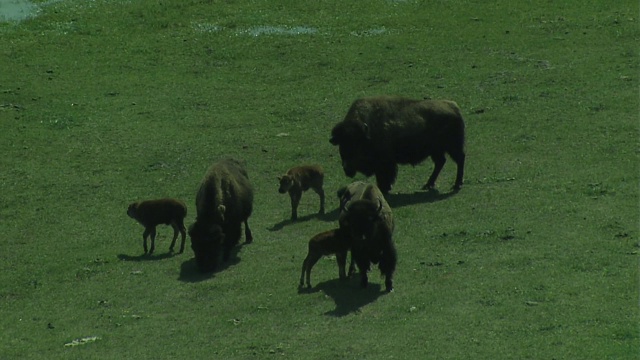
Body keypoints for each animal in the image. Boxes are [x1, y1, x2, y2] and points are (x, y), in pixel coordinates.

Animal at [330, 94, 464, 193]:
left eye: (357, 143)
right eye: (342, 143)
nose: (347, 168)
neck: (368, 132)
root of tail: (454, 107)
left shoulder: (385, 164)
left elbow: (385, 176)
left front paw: (384, 189)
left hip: (453, 147)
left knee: (459, 160)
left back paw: (456, 185)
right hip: (437, 151)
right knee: (441, 162)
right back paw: (428, 185)